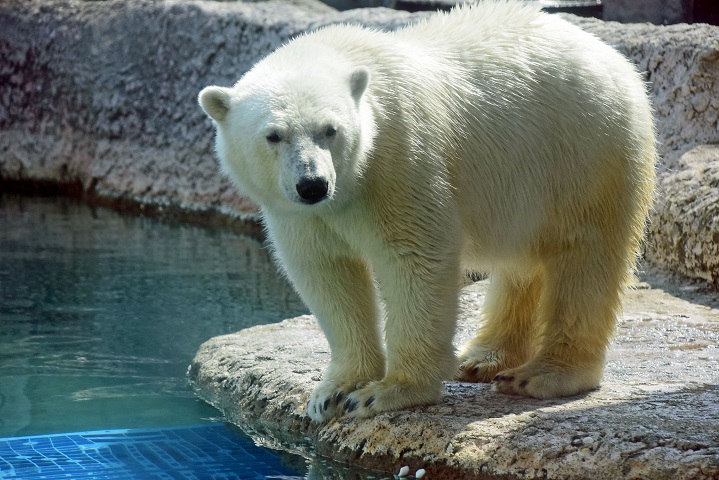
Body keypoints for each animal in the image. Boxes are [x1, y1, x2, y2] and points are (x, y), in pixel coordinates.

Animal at [198, 0, 660, 420]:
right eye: (273, 135)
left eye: (330, 130)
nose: (312, 184)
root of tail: (610, 54)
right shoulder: (299, 214)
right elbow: (327, 272)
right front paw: (332, 393)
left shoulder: (400, 157)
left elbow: (414, 258)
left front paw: (385, 392)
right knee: (523, 262)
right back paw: (484, 357)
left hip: (585, 148)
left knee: (585, 255)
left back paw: (542, 374)